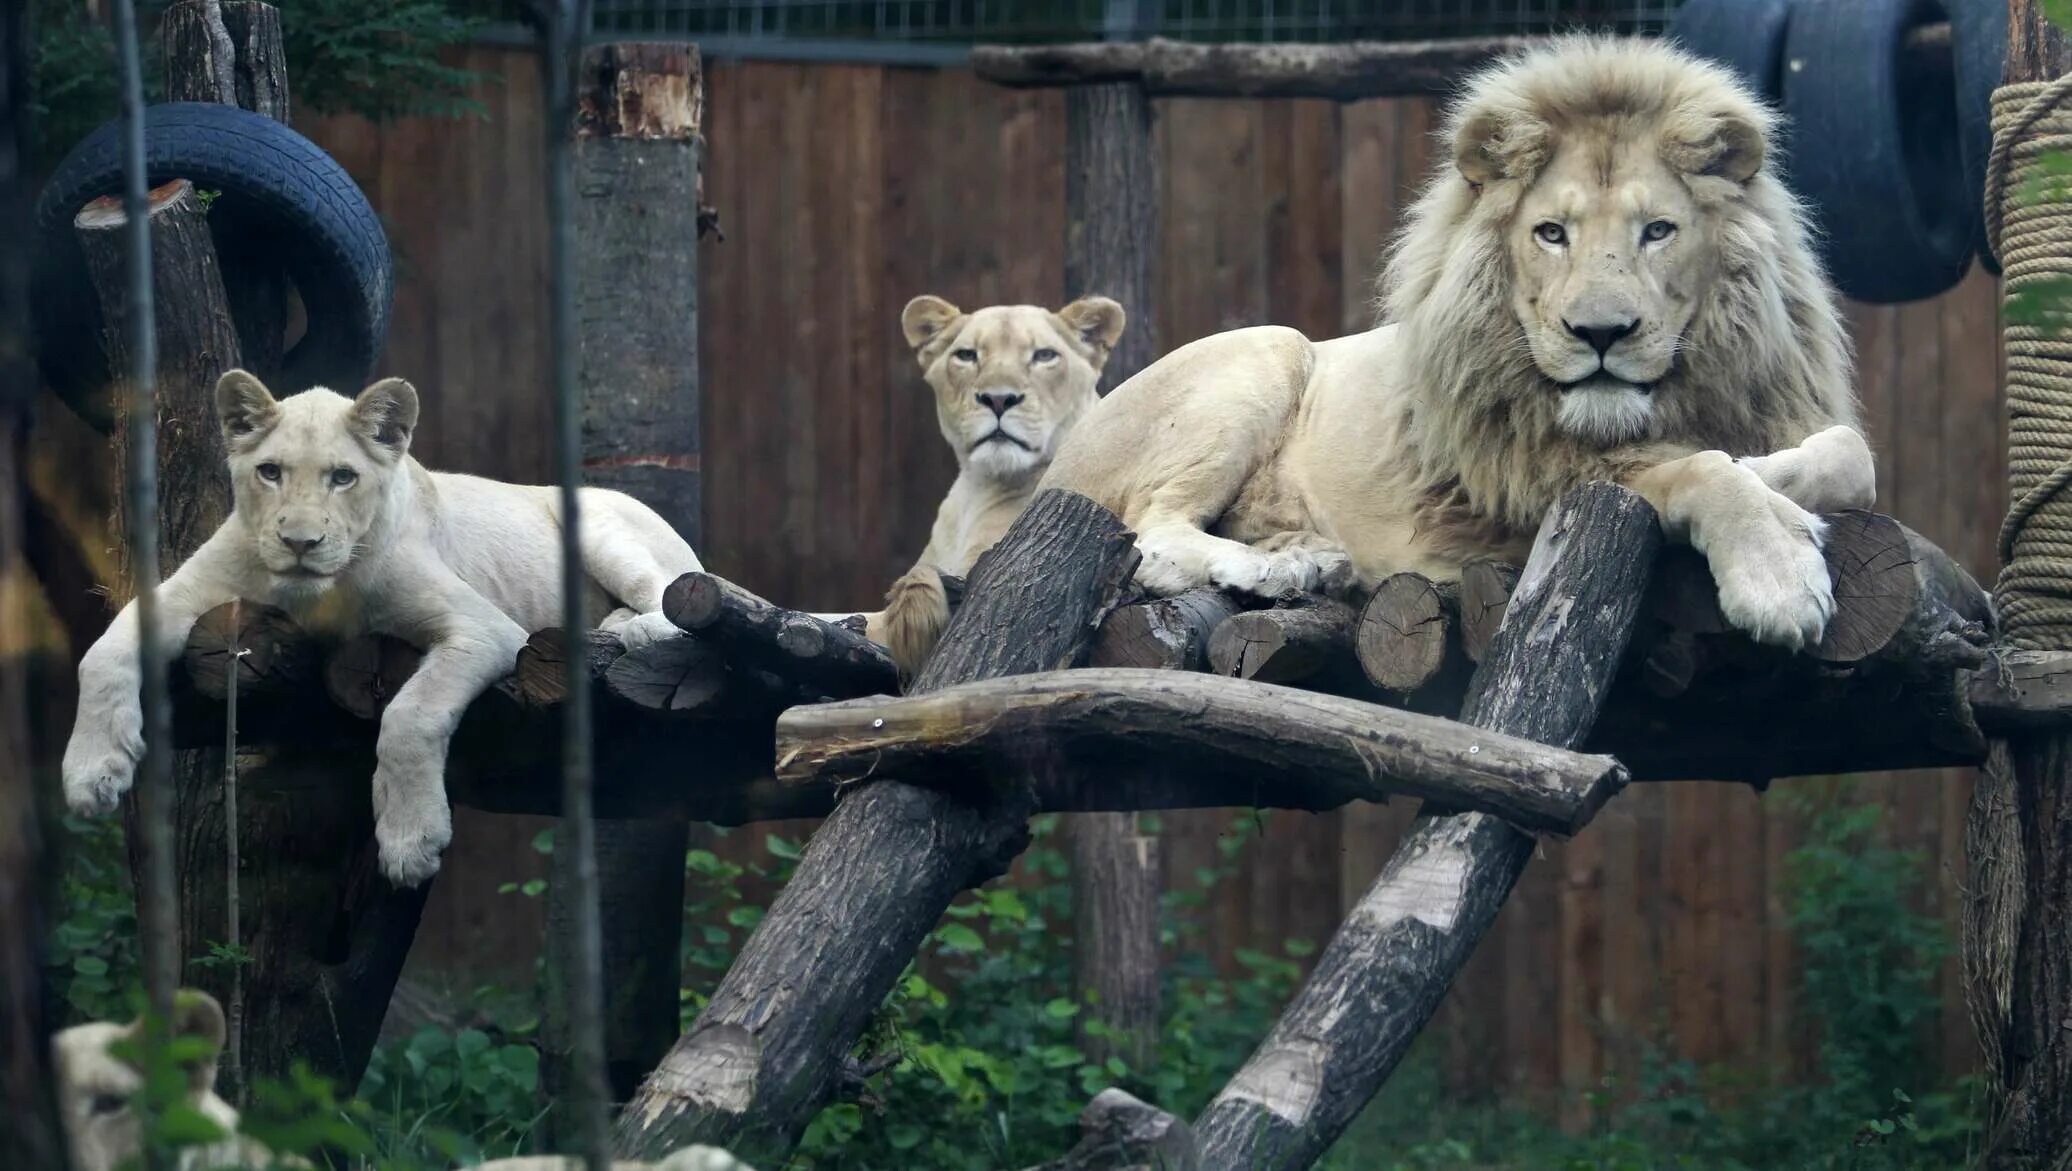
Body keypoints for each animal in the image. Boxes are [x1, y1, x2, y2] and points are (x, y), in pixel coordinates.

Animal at [64, 368, 700, 882]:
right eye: (269, 472)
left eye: (343, 478)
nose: (300, 543)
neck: (316, 593)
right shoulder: (189, 592)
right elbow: (100, 653)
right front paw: (92, 773)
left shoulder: (484, 626)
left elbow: (410, 714)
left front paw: (409, 841)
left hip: (602, 526)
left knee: (675, 596)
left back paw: (631, 630)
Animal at [1011, 34, 1873, 646]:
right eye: (1551, 233)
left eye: (1658, 231)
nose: (1599, 333)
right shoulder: (1528, 487)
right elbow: (1696, 473)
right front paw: (1779, 577)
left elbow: (1850, 456)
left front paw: (1770, 473)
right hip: (1267, 351)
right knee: (1150, 529)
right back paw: (1282, 568)